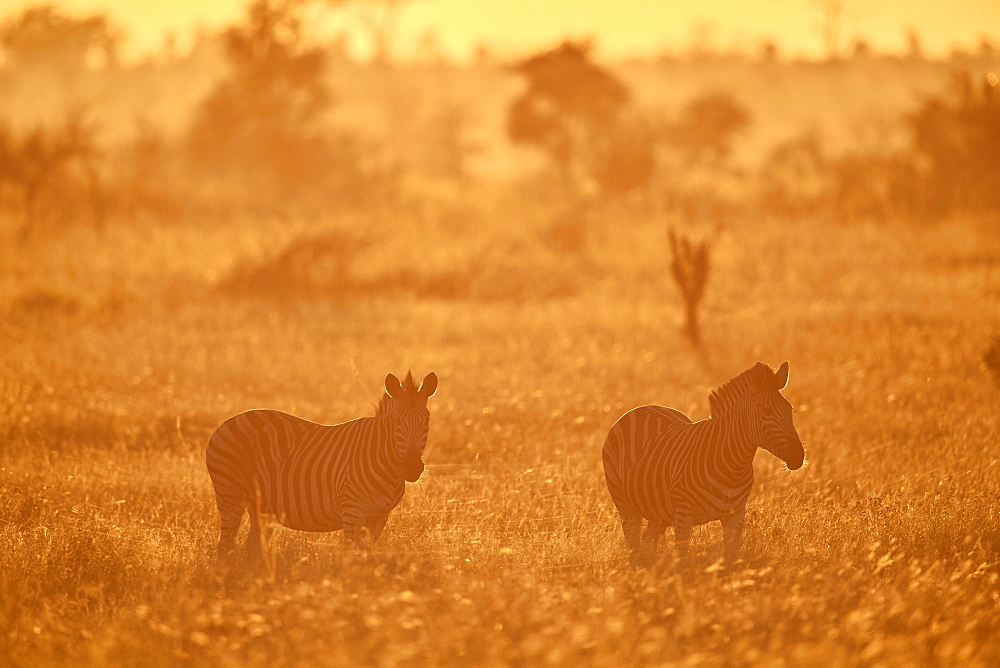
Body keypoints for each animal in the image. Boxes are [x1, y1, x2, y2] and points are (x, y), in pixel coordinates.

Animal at [205, 374, 436, 560]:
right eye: (397, 421)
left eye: (427, 420)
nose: (412, 468)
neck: (387, 461)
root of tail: (226, 422)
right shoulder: (351, 509)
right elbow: (350, 553)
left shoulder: (379, 515)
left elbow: (364, 553)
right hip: (230, 494)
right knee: (225, 546)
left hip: (260, 505)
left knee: (252, 547)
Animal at [600, 362, 804, 560]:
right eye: (766, 410)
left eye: (790, 409)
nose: (799, 456)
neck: (733, 465)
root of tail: (645, 407)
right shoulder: (683, 516)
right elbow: (682, 559)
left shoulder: (736, 516)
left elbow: (730, 559)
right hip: (625, 505)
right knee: (634, 544)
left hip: (657, 511)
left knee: (648, 542)